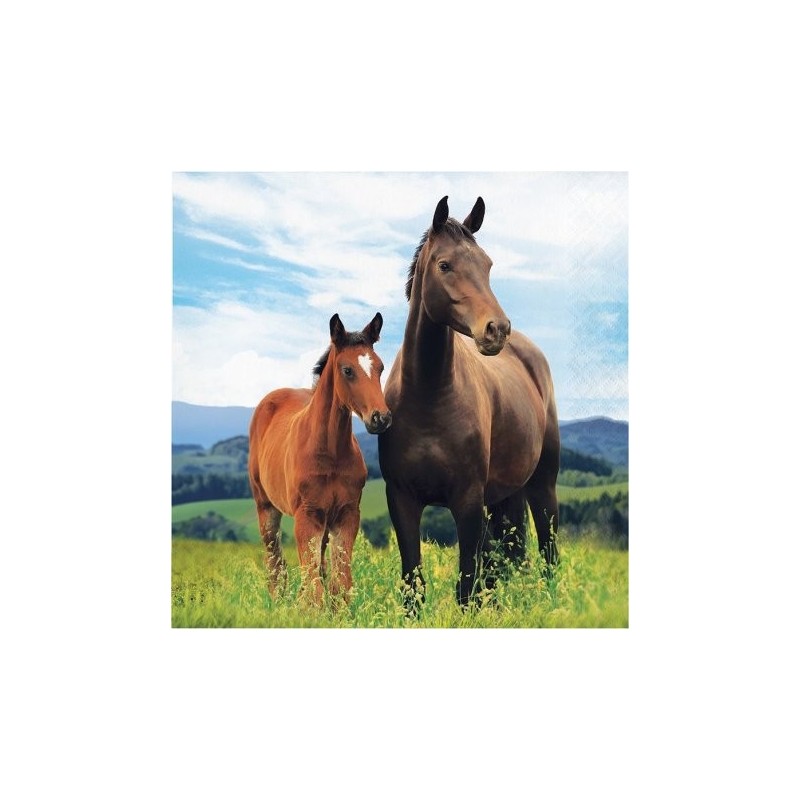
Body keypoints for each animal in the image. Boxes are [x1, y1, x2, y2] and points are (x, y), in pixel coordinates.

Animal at [248, 312, 392, 605]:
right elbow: (313, 585)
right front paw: (307, 608)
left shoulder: (347, 514)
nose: (380, 418)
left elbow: (341, 583)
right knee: (275, 563)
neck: (330, 453)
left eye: (381, 368)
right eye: (347, 370)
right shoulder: (307, 516)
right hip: (266, 506)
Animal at [378, 196, 560, 609]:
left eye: (487, 265)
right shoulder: (401, 500)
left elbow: (467, 588)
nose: (497, 329)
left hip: (543, 485)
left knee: (548, 553)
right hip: (506, 496)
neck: (428, 396)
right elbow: (414, 588)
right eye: (445, 265)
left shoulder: (468, 501)